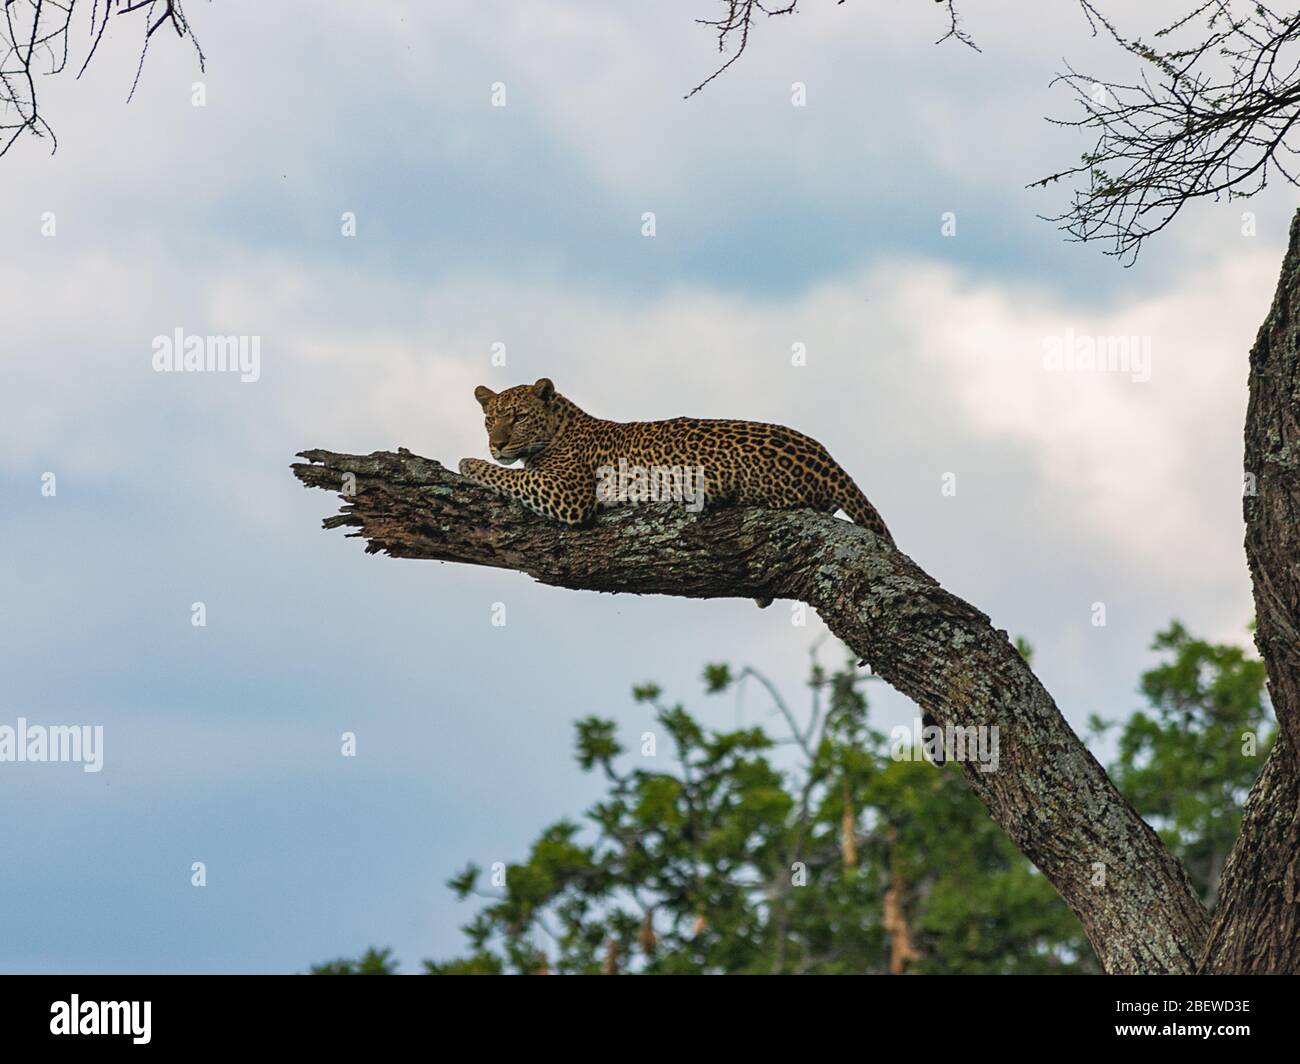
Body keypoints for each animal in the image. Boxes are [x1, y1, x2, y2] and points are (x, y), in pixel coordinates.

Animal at [457, 377, 894, 600]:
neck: (560, 427)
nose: (497, 444)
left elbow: (511, 476)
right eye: (490, 420)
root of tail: (824, 455)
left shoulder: (568, 493)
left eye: (518, 417)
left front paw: (467, 463)